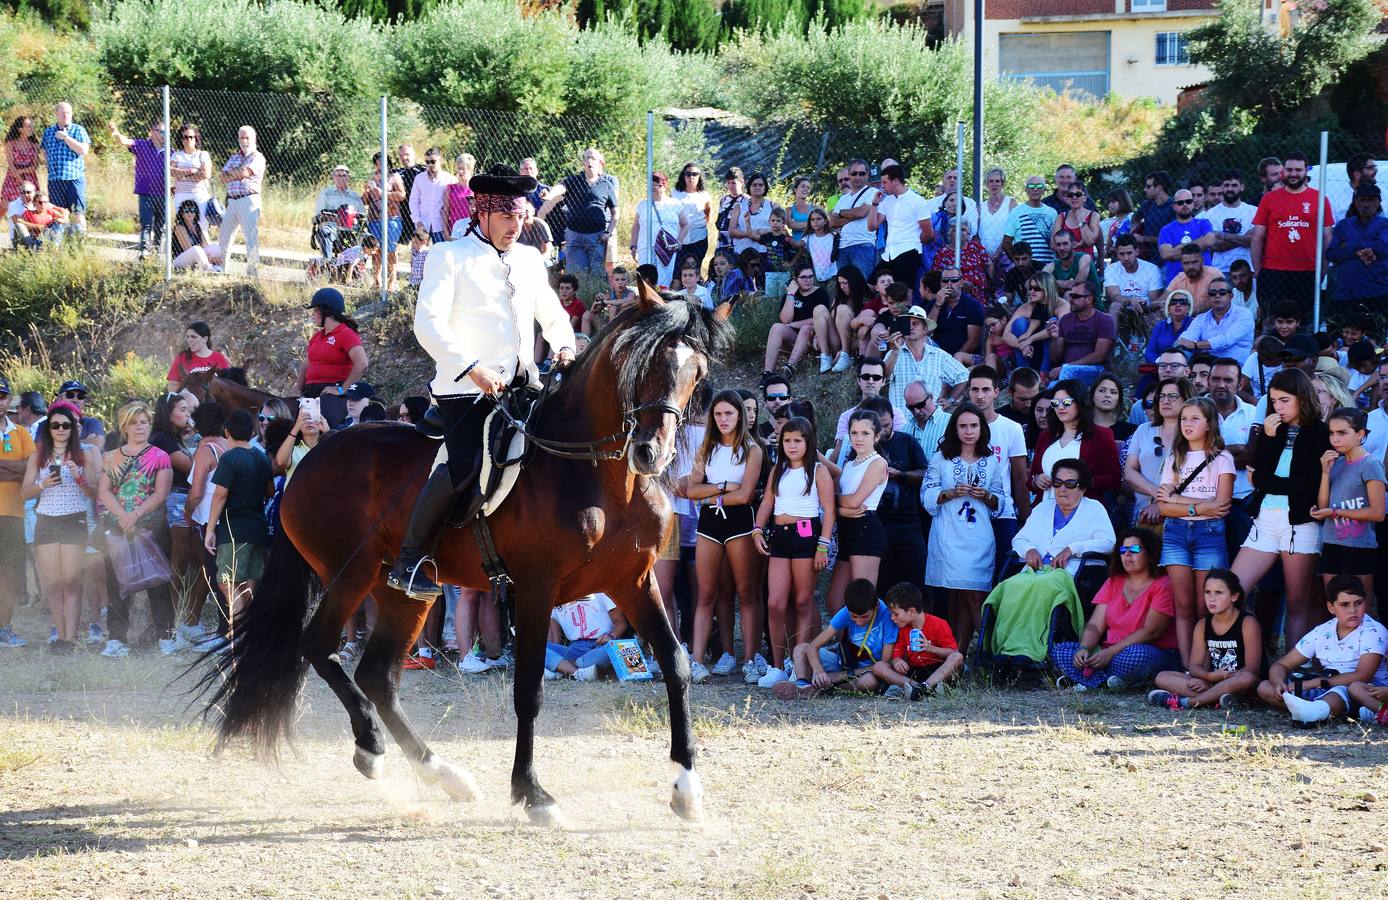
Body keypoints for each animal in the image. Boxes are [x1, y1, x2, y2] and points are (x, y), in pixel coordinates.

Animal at [201, 286, 732, 822]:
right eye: (637, 362)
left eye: (698, 372)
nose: (650, 453)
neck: (601, 478)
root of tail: (306, 462)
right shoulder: (536, 590)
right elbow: (529, 690)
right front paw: (532, 793)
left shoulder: (634, 582)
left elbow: (676, 665)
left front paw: (687, 788)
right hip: (351, 573)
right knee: (319, 646)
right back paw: (371, 747)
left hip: (405, 592)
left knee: (376, 674)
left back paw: (443, 773)